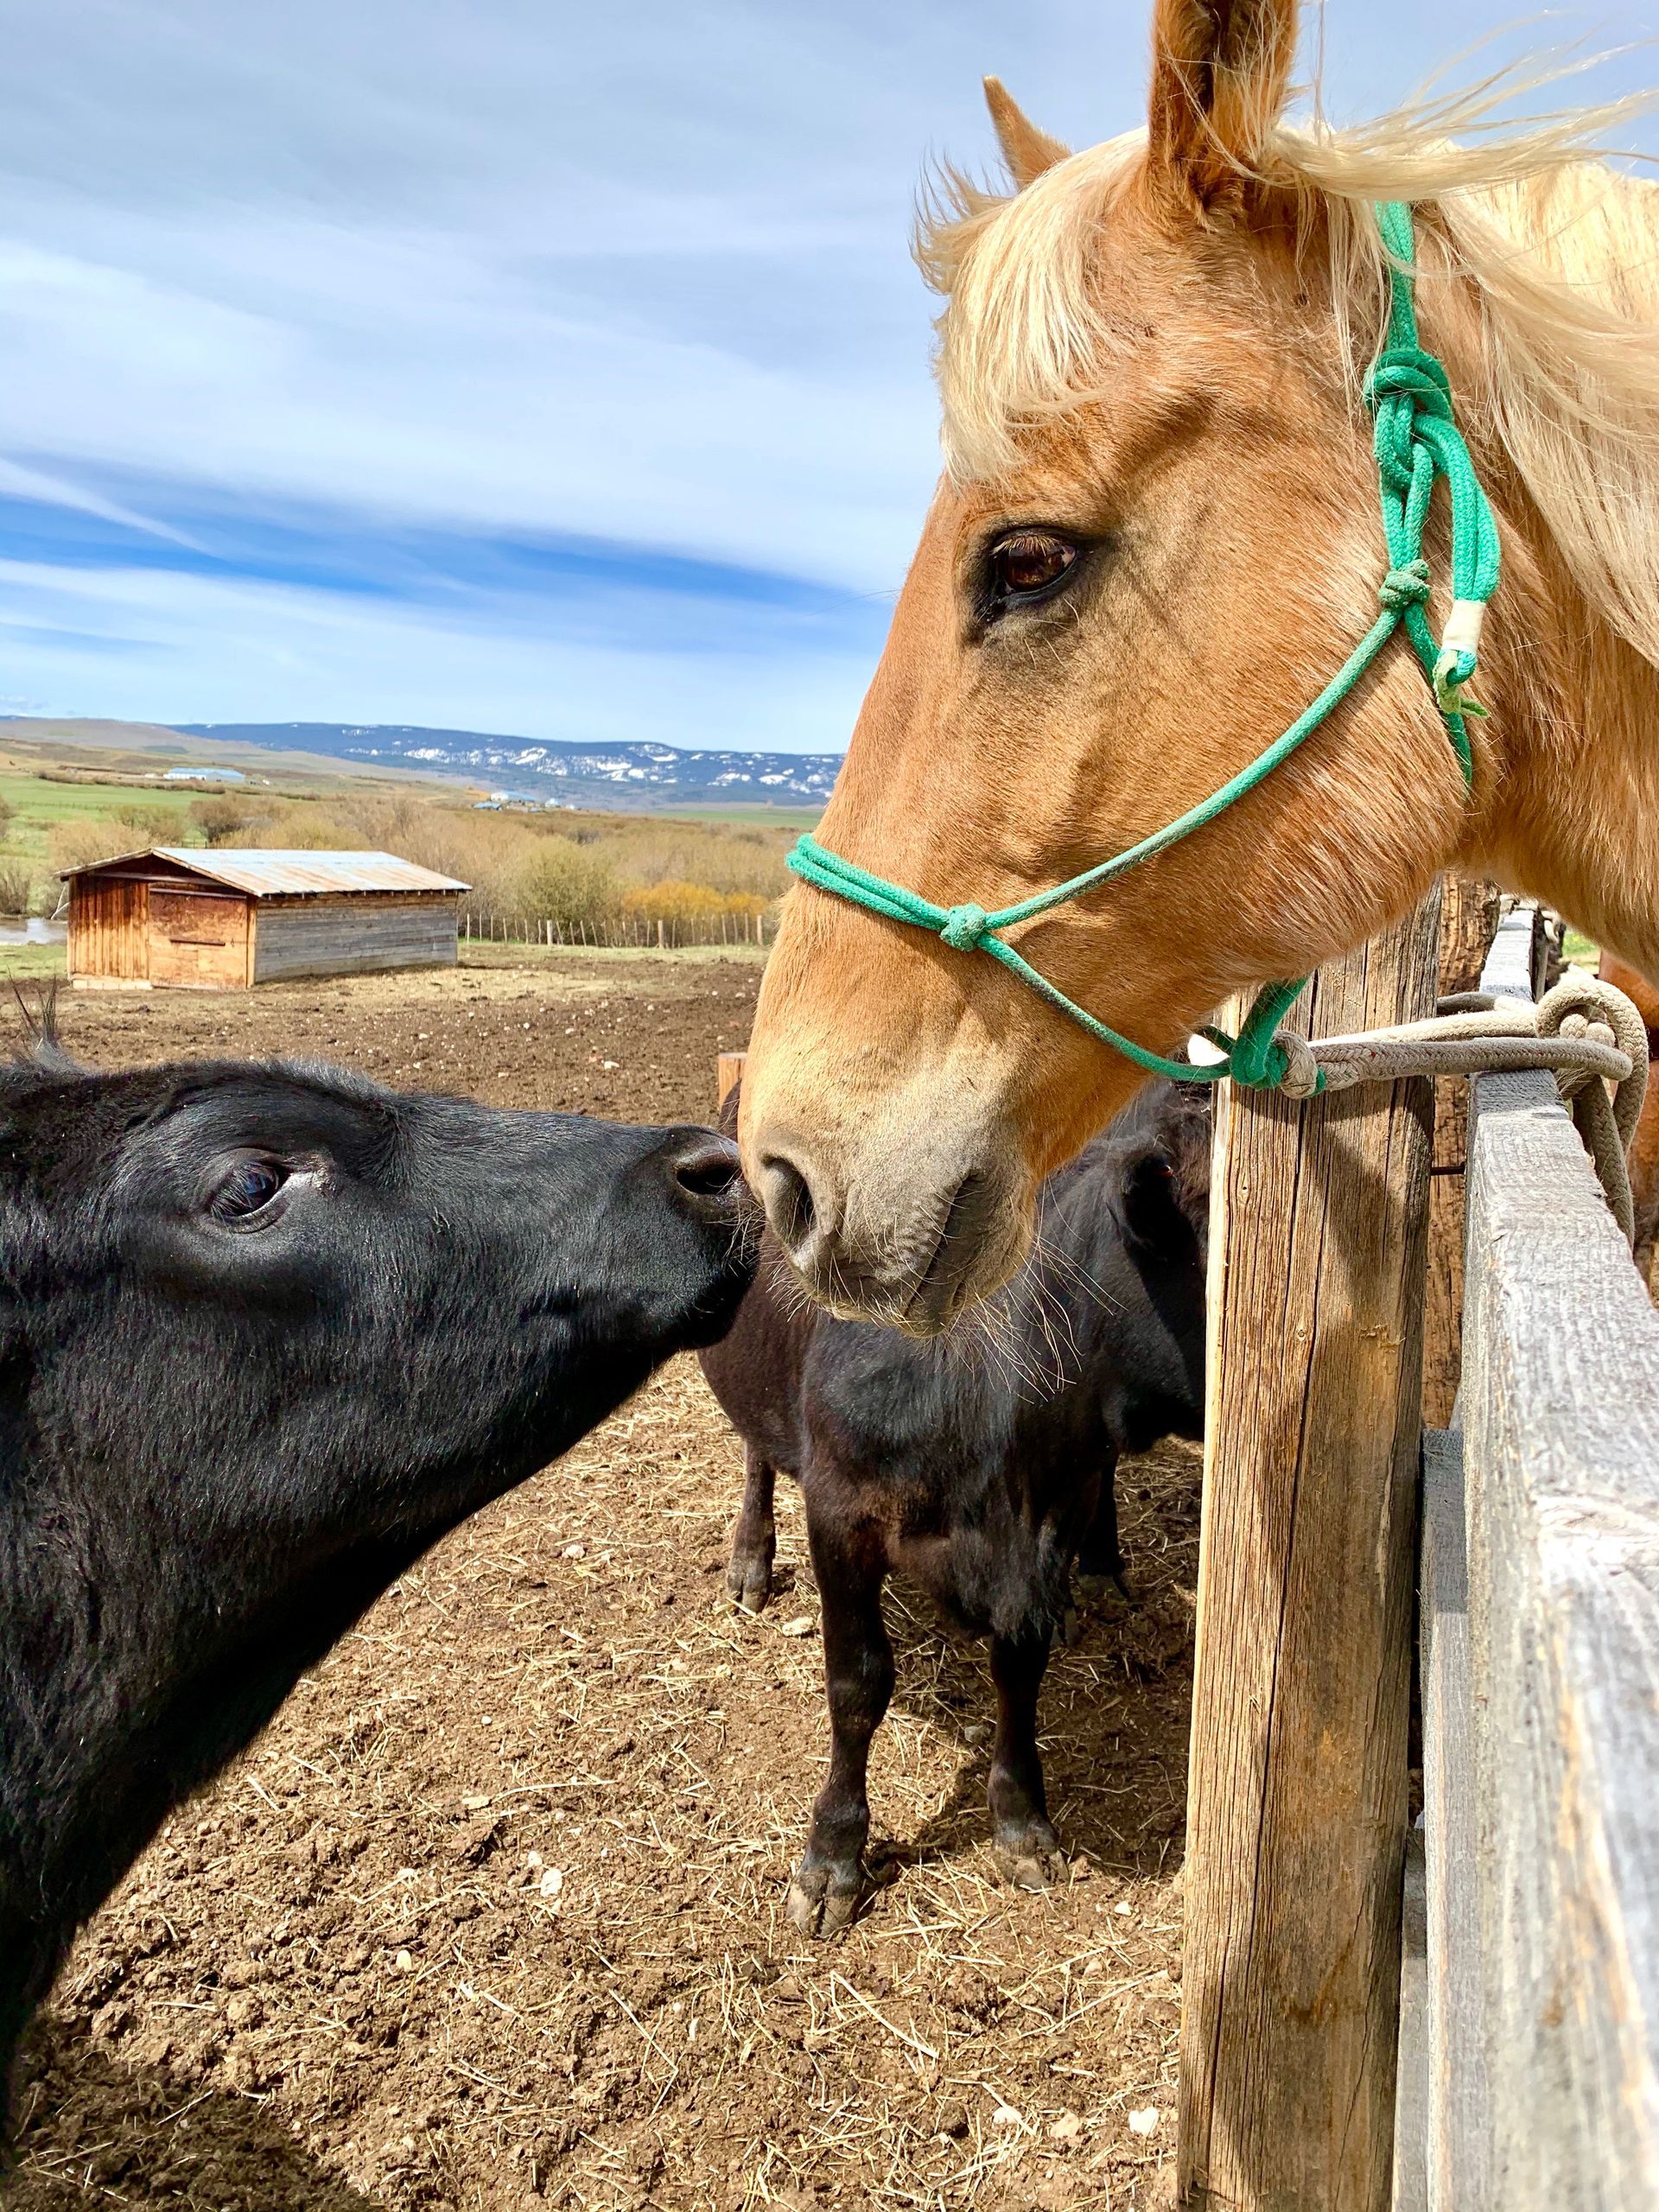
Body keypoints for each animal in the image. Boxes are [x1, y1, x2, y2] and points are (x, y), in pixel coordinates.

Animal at [699, 1080, 1208, 1935]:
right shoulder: (841, 1511)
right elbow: (858, 1683)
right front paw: (832, 1858)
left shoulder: (1053, 1511)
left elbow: (1020, 1665)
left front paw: (1022, 1822)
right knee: (756, 1451)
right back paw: (750, 1561)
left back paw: (1101, 1579)